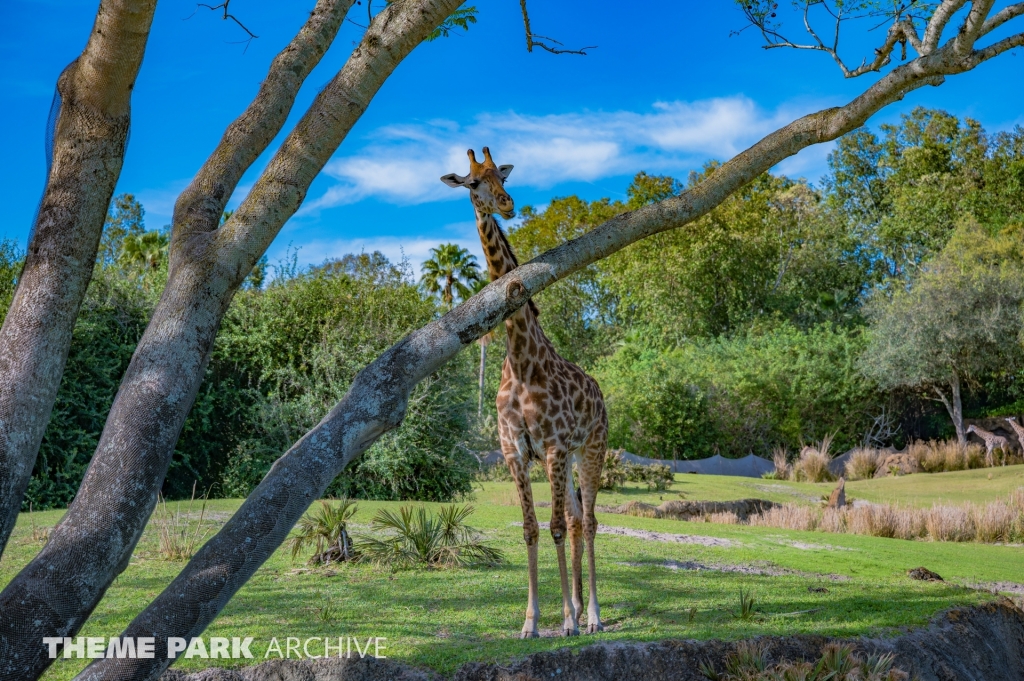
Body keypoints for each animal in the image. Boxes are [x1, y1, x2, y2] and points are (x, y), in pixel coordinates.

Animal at [440, 144, 606, 639]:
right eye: (475, 182)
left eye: (504, 174)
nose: (508, 203)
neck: (520, 357)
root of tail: (601, 394)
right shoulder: (516, 451)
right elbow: (532, 528)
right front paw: (532, 622)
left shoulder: (551, 446)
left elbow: (552, 527)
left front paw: (567, 620)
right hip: (570, 456)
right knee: (576, 518)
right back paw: (577, 608)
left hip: (591, 450)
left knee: (589, 520)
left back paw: (592, 615)